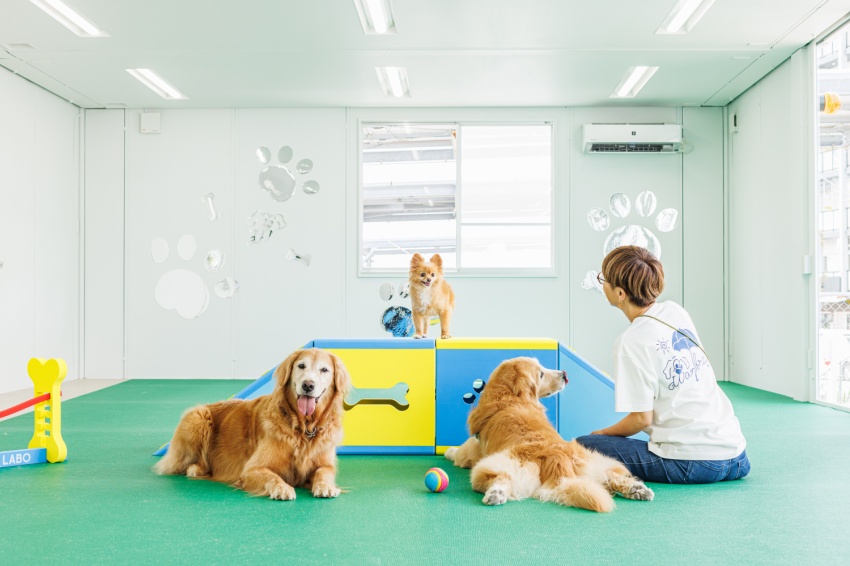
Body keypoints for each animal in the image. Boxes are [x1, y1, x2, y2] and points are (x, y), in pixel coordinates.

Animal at [154, 350, 350, 502]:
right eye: (301, 366)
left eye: (324, 370)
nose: (308, 385)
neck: (303, 428)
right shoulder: (252, 469)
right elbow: (272, 476)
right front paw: (282, 488)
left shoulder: (325, 463)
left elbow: (324, 472)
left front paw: (325, 486)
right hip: (197, 417)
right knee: (180, 464)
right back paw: (195, 469)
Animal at [448, 360, 652, 516]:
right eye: (541, 374)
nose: (564, 373)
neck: (509, 398)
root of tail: (557, 458)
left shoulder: (474, 448)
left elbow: (459, 453)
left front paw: (450, 451)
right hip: (596, 461)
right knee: (611, 477)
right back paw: (638, 490)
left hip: (492, 466)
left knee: (499, 479)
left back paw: (496, 494)